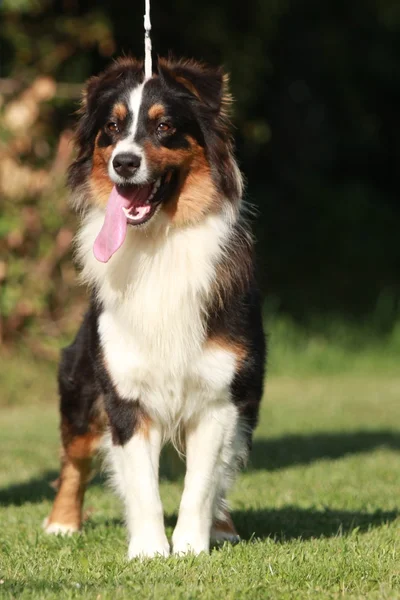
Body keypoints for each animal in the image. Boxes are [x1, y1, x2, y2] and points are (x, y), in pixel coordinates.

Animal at [44, 56, 266, 556]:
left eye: (164, 126)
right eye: (112, 127)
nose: (123, 161)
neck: (158, 243)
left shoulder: (221, 395)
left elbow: (202, 482)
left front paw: (189, 547)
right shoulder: (124, 391)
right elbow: (142, 482)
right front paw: (148, 550)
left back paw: (222, 526)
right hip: (80, 382)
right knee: (74, 457)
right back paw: (61, 523)